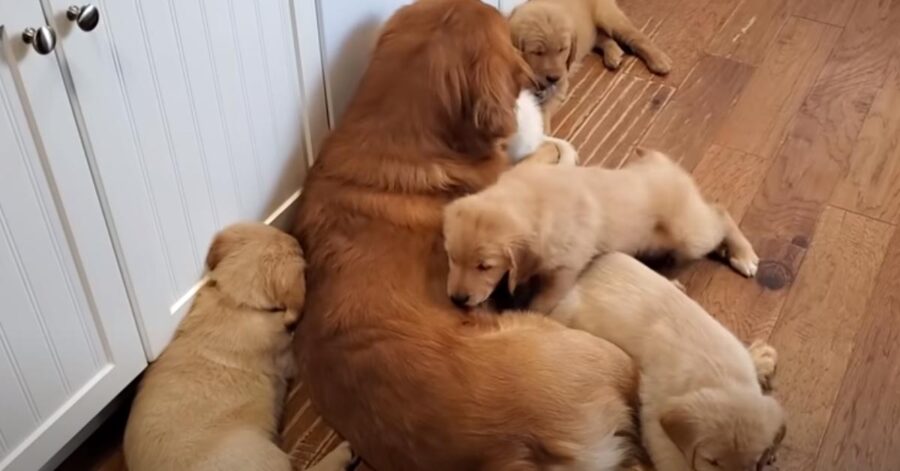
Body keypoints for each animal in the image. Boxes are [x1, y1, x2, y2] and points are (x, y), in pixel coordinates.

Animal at [442, 148, 760, 314]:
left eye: (485, 266)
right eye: (452, 259)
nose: (456, 300)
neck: (531, 199)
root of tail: (662, 161)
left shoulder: (565, 269)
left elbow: (541, 303)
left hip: (688, 233)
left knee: (720, 213)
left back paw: (744, 255)